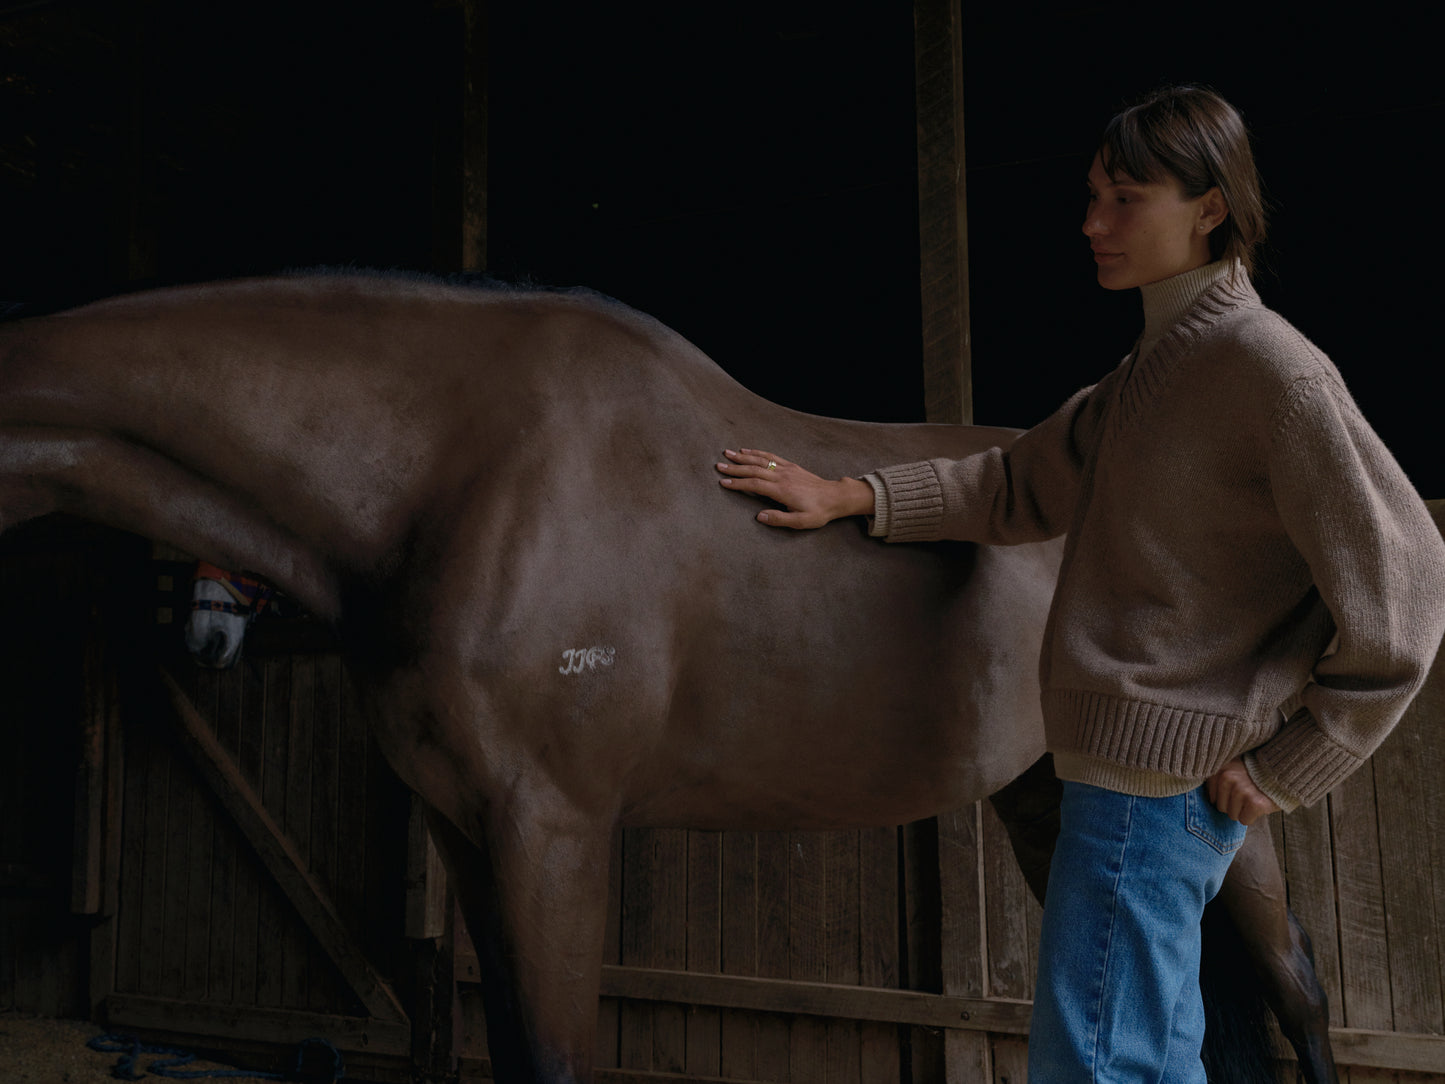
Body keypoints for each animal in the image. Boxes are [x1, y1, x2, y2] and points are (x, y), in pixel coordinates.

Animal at [0, 273, 1329, 1084]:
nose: (205, 639)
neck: (454, 470)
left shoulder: (551, 829)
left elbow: (554, 1056)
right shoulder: (468, 830)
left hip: (1220, 814)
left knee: (1296, 997)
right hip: (1049, 798)